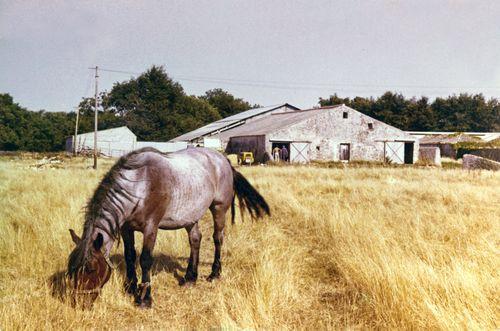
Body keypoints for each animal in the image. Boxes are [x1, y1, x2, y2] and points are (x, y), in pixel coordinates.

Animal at [67, 148, 270, 308]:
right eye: (71, 269)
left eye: (90, 269)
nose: (79, 303)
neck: (140, 185)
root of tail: (224, 160)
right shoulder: (126, 229)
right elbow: (130, 256)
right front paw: (130, 288)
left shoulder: (151, 228)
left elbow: (145, 259)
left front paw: (145, 298)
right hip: (190, 216)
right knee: (195, 239)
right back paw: (190, 277)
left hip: (219, 208)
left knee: (217, 238)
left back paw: (214, 273)